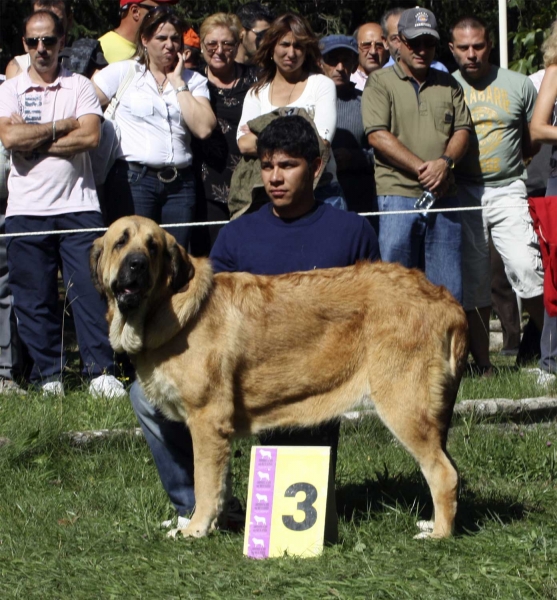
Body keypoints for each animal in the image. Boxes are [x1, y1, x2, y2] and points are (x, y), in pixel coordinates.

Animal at [91, 214, 470, 540]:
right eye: (120, 242)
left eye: (153, 246)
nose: (137, 264)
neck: (166, 308)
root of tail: (448, 300)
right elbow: (219, 482)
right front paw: (217, 524)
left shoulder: (206, 420)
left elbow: (204, 481)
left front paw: (195, 530)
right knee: (449, 467)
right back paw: (433, 523)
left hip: (403, 406)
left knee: (443, 473)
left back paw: (438, 535)